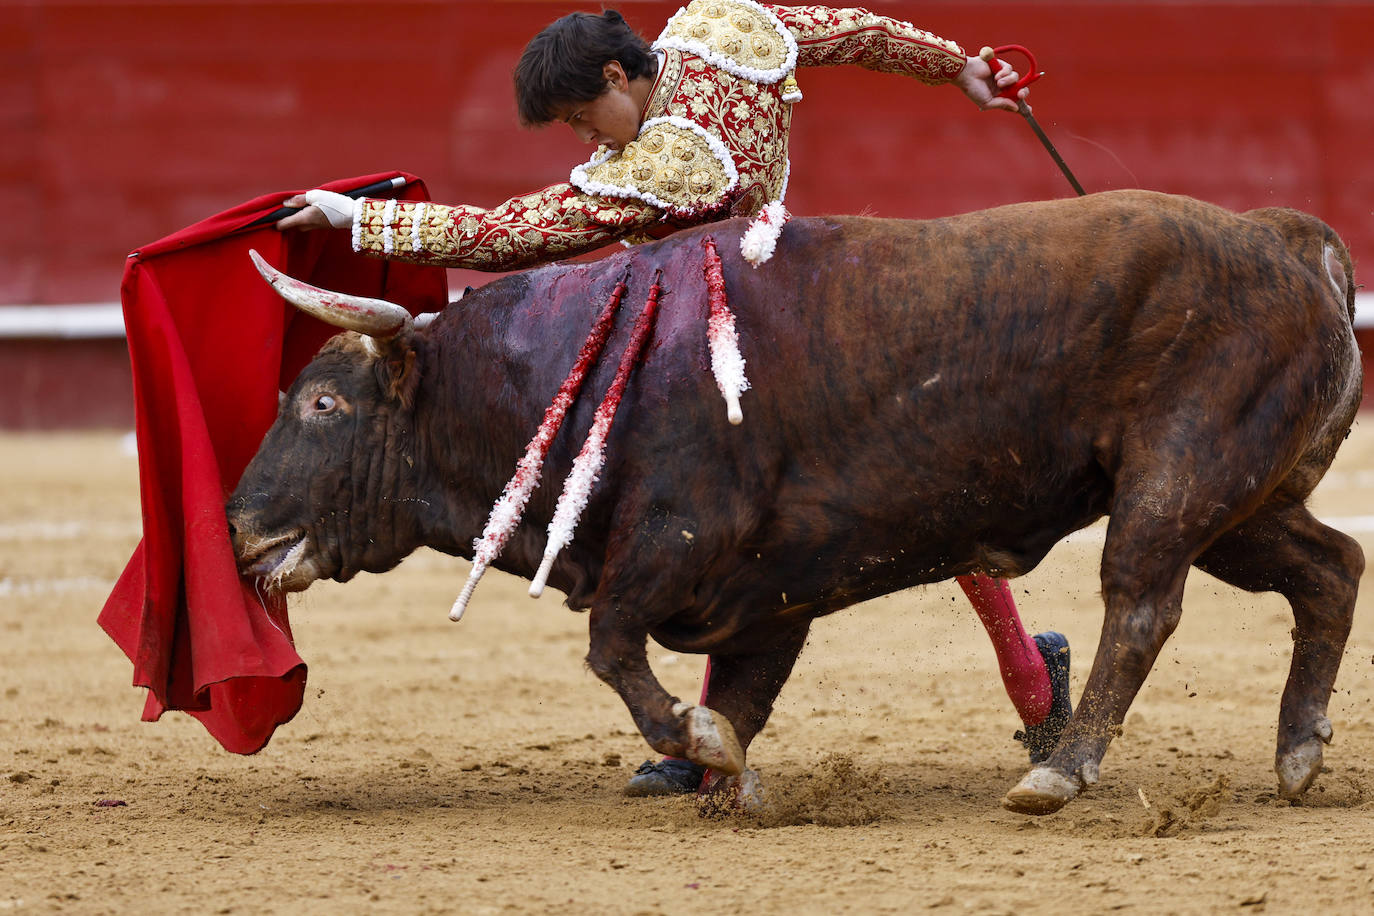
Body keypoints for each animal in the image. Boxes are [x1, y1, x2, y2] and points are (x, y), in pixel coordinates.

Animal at [228, 188, 1363, 818]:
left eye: (323, 402)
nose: (236, 524)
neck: (562, 372)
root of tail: (1283, 240)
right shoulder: (765, 595)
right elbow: (738, 692)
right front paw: (725, 779)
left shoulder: (680, 541)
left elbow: (611, 646)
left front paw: (696, 746)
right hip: (1237, 502)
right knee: (1332, 567)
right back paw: (1298, 753)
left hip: (1178, 477)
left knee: (1141, 604)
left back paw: (1065, 770)